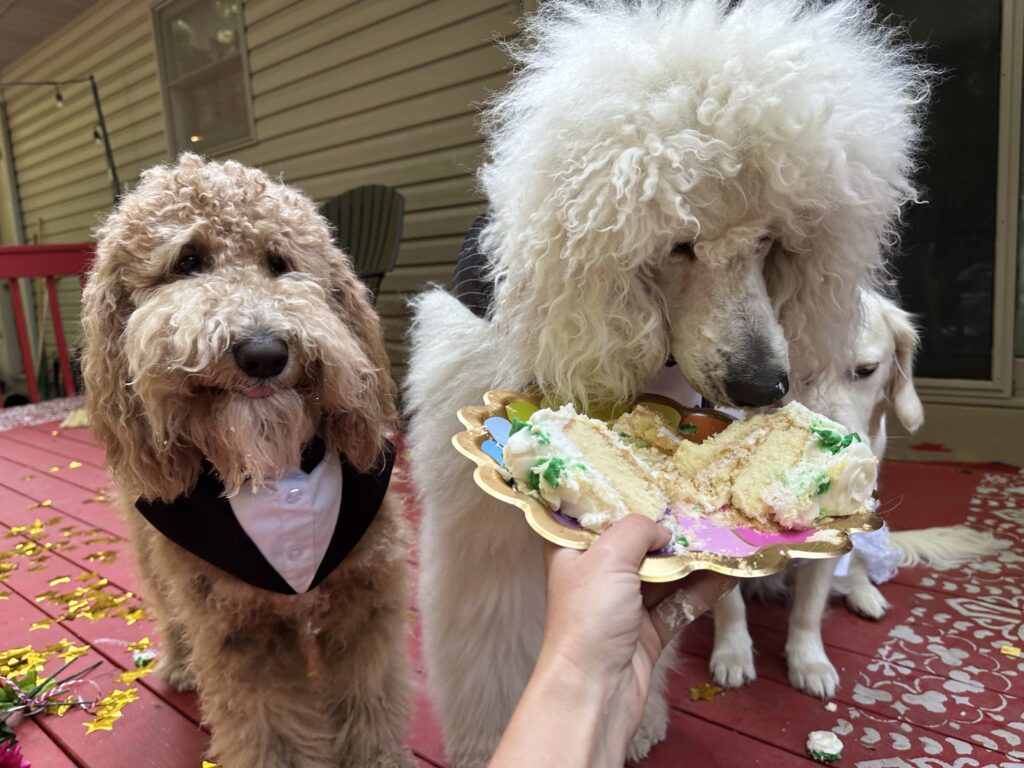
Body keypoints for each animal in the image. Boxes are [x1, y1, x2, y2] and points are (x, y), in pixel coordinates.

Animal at [82, 154, 413, 768]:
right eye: (187, 262)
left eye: (280, 262)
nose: (264, 353)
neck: (281, 467)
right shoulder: (237, 627)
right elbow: (268, 726)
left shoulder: (364, 595)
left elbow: (369, 698)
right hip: (156, 557)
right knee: (169, 611)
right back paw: (180, 665)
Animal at [405, 1, 929, 763]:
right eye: (678, 243)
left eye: (773, 241)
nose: (765, 385)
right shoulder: (481, 526)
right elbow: (491, 636)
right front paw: (485, 742)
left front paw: (640, 721)